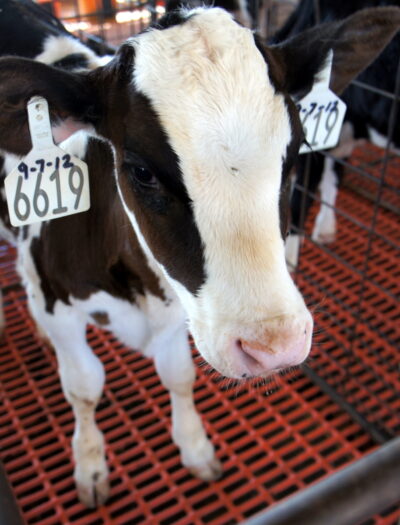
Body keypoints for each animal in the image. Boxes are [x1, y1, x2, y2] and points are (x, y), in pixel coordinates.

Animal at [0, 3, 398, 504]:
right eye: (141, 171)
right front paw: (90, 467)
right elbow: (85, 386)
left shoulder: (184, 306)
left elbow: (179, 376)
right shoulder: (57, 304)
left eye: (292, 156)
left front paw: (194, 448)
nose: (274, 348)